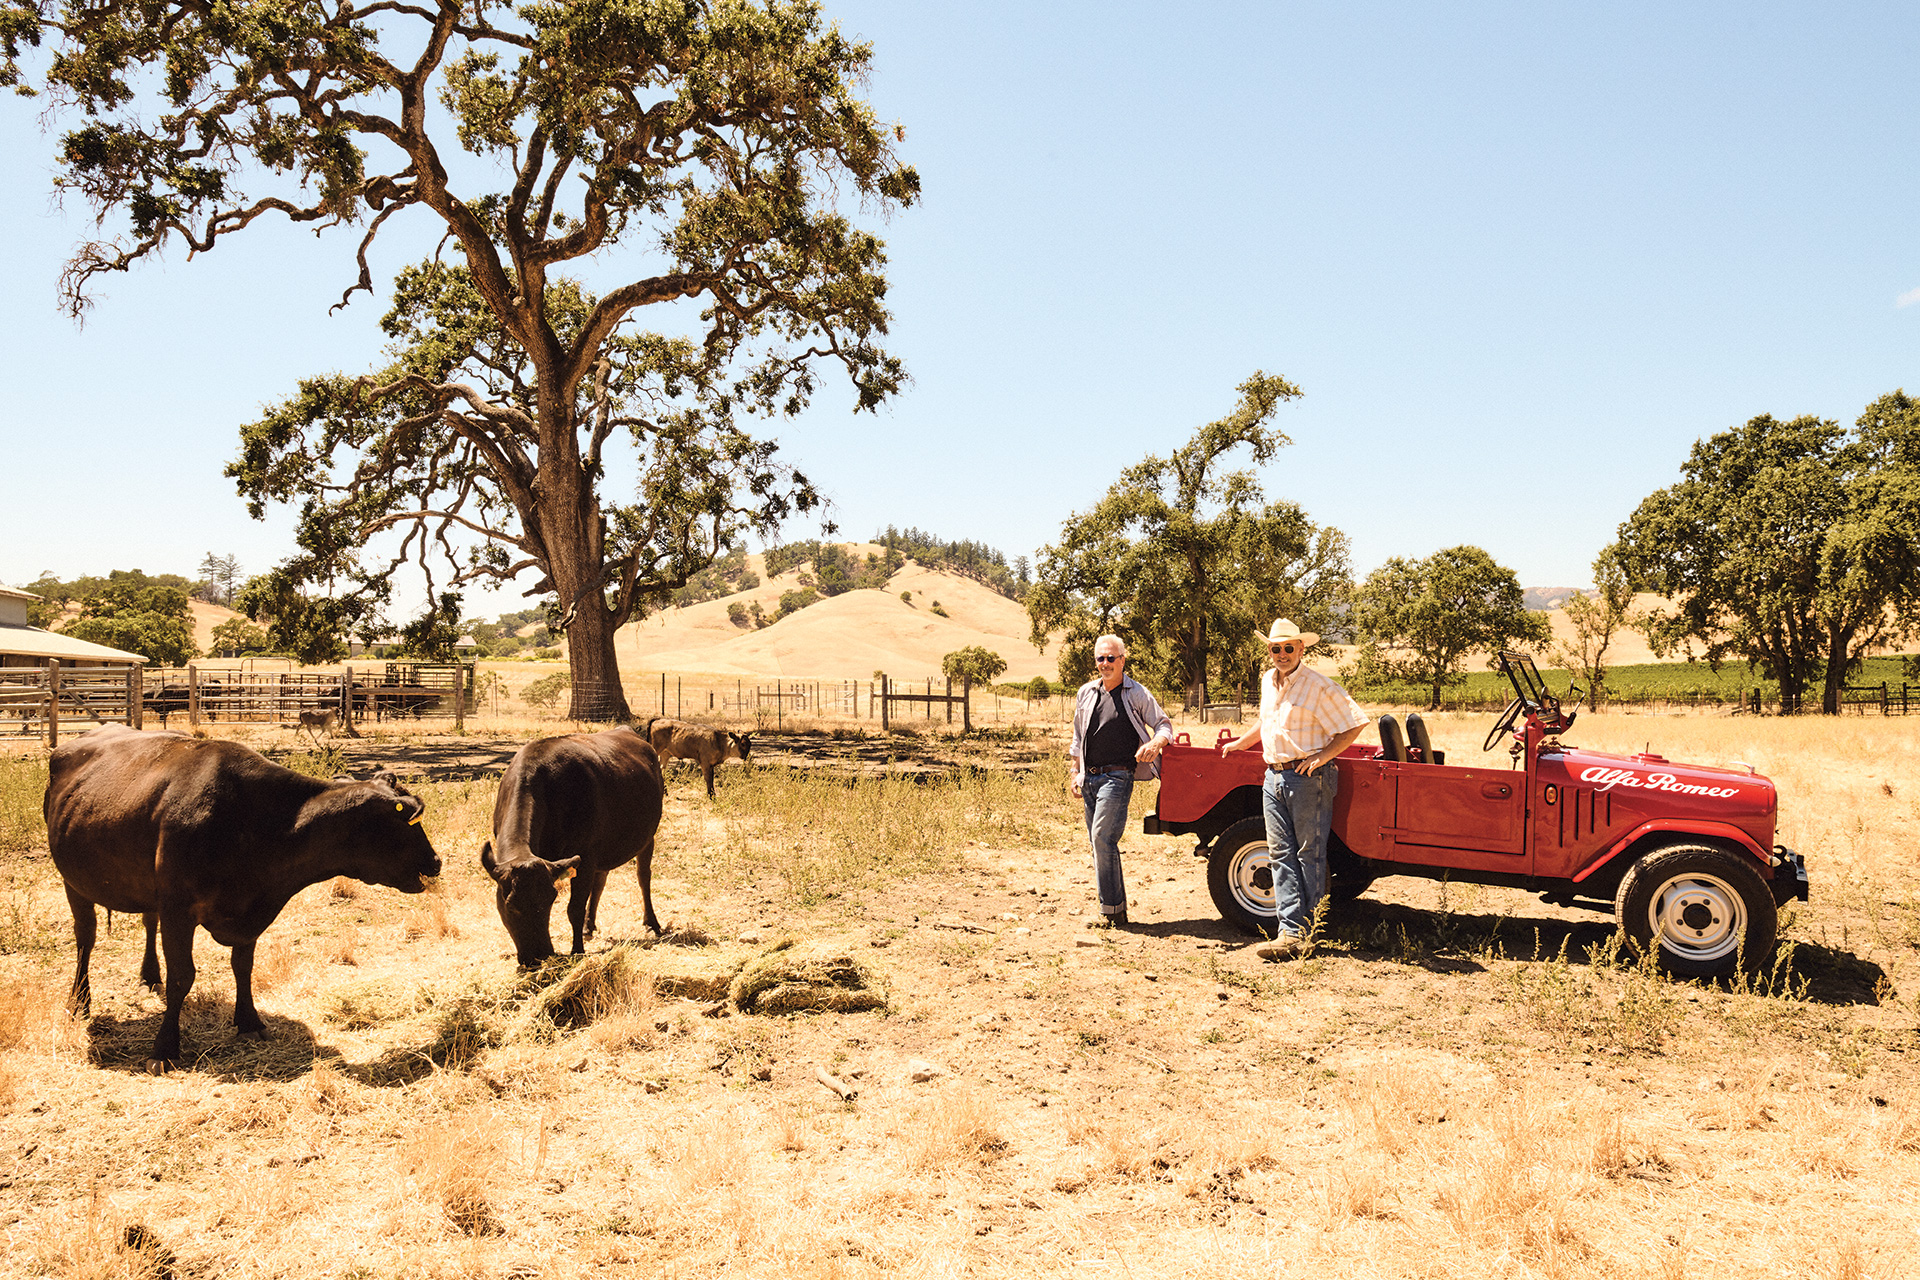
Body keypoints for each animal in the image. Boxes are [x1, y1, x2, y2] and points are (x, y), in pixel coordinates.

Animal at [45, 725, 441, 1066]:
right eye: (406, 822)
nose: (436, 861)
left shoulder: (248, 910)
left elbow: (242, 966)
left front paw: (249, 1021)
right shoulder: (178, 909)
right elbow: (182, 977)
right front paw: (165, 1048)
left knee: (146, 920)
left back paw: (149, 975)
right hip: (73, 881)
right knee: (86, 938)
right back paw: (80, 1002)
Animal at [476, 725, 664, 967]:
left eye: (550, 900)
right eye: (510, 906)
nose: (539, 955)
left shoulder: (585, 854)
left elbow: (574, 908)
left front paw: (577, 951)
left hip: (648, 837)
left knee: (643, 877)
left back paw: (652, 923)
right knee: (600, 881)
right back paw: (588, 926)